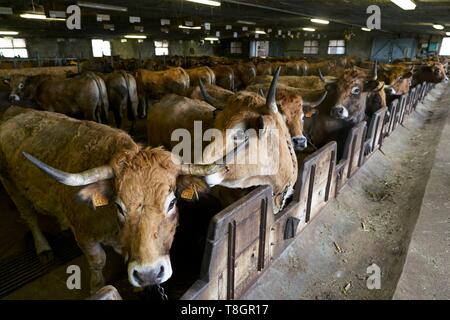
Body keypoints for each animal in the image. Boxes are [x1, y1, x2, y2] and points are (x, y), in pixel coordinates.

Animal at [0, 107, 230, 292]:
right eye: (119, 207)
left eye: (172, 203)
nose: (148, 274)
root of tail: (15, 113)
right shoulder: (85, 236)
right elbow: (97, 261)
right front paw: (97, 287)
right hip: (11, 186)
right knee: (29, 216)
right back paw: (43, 247)